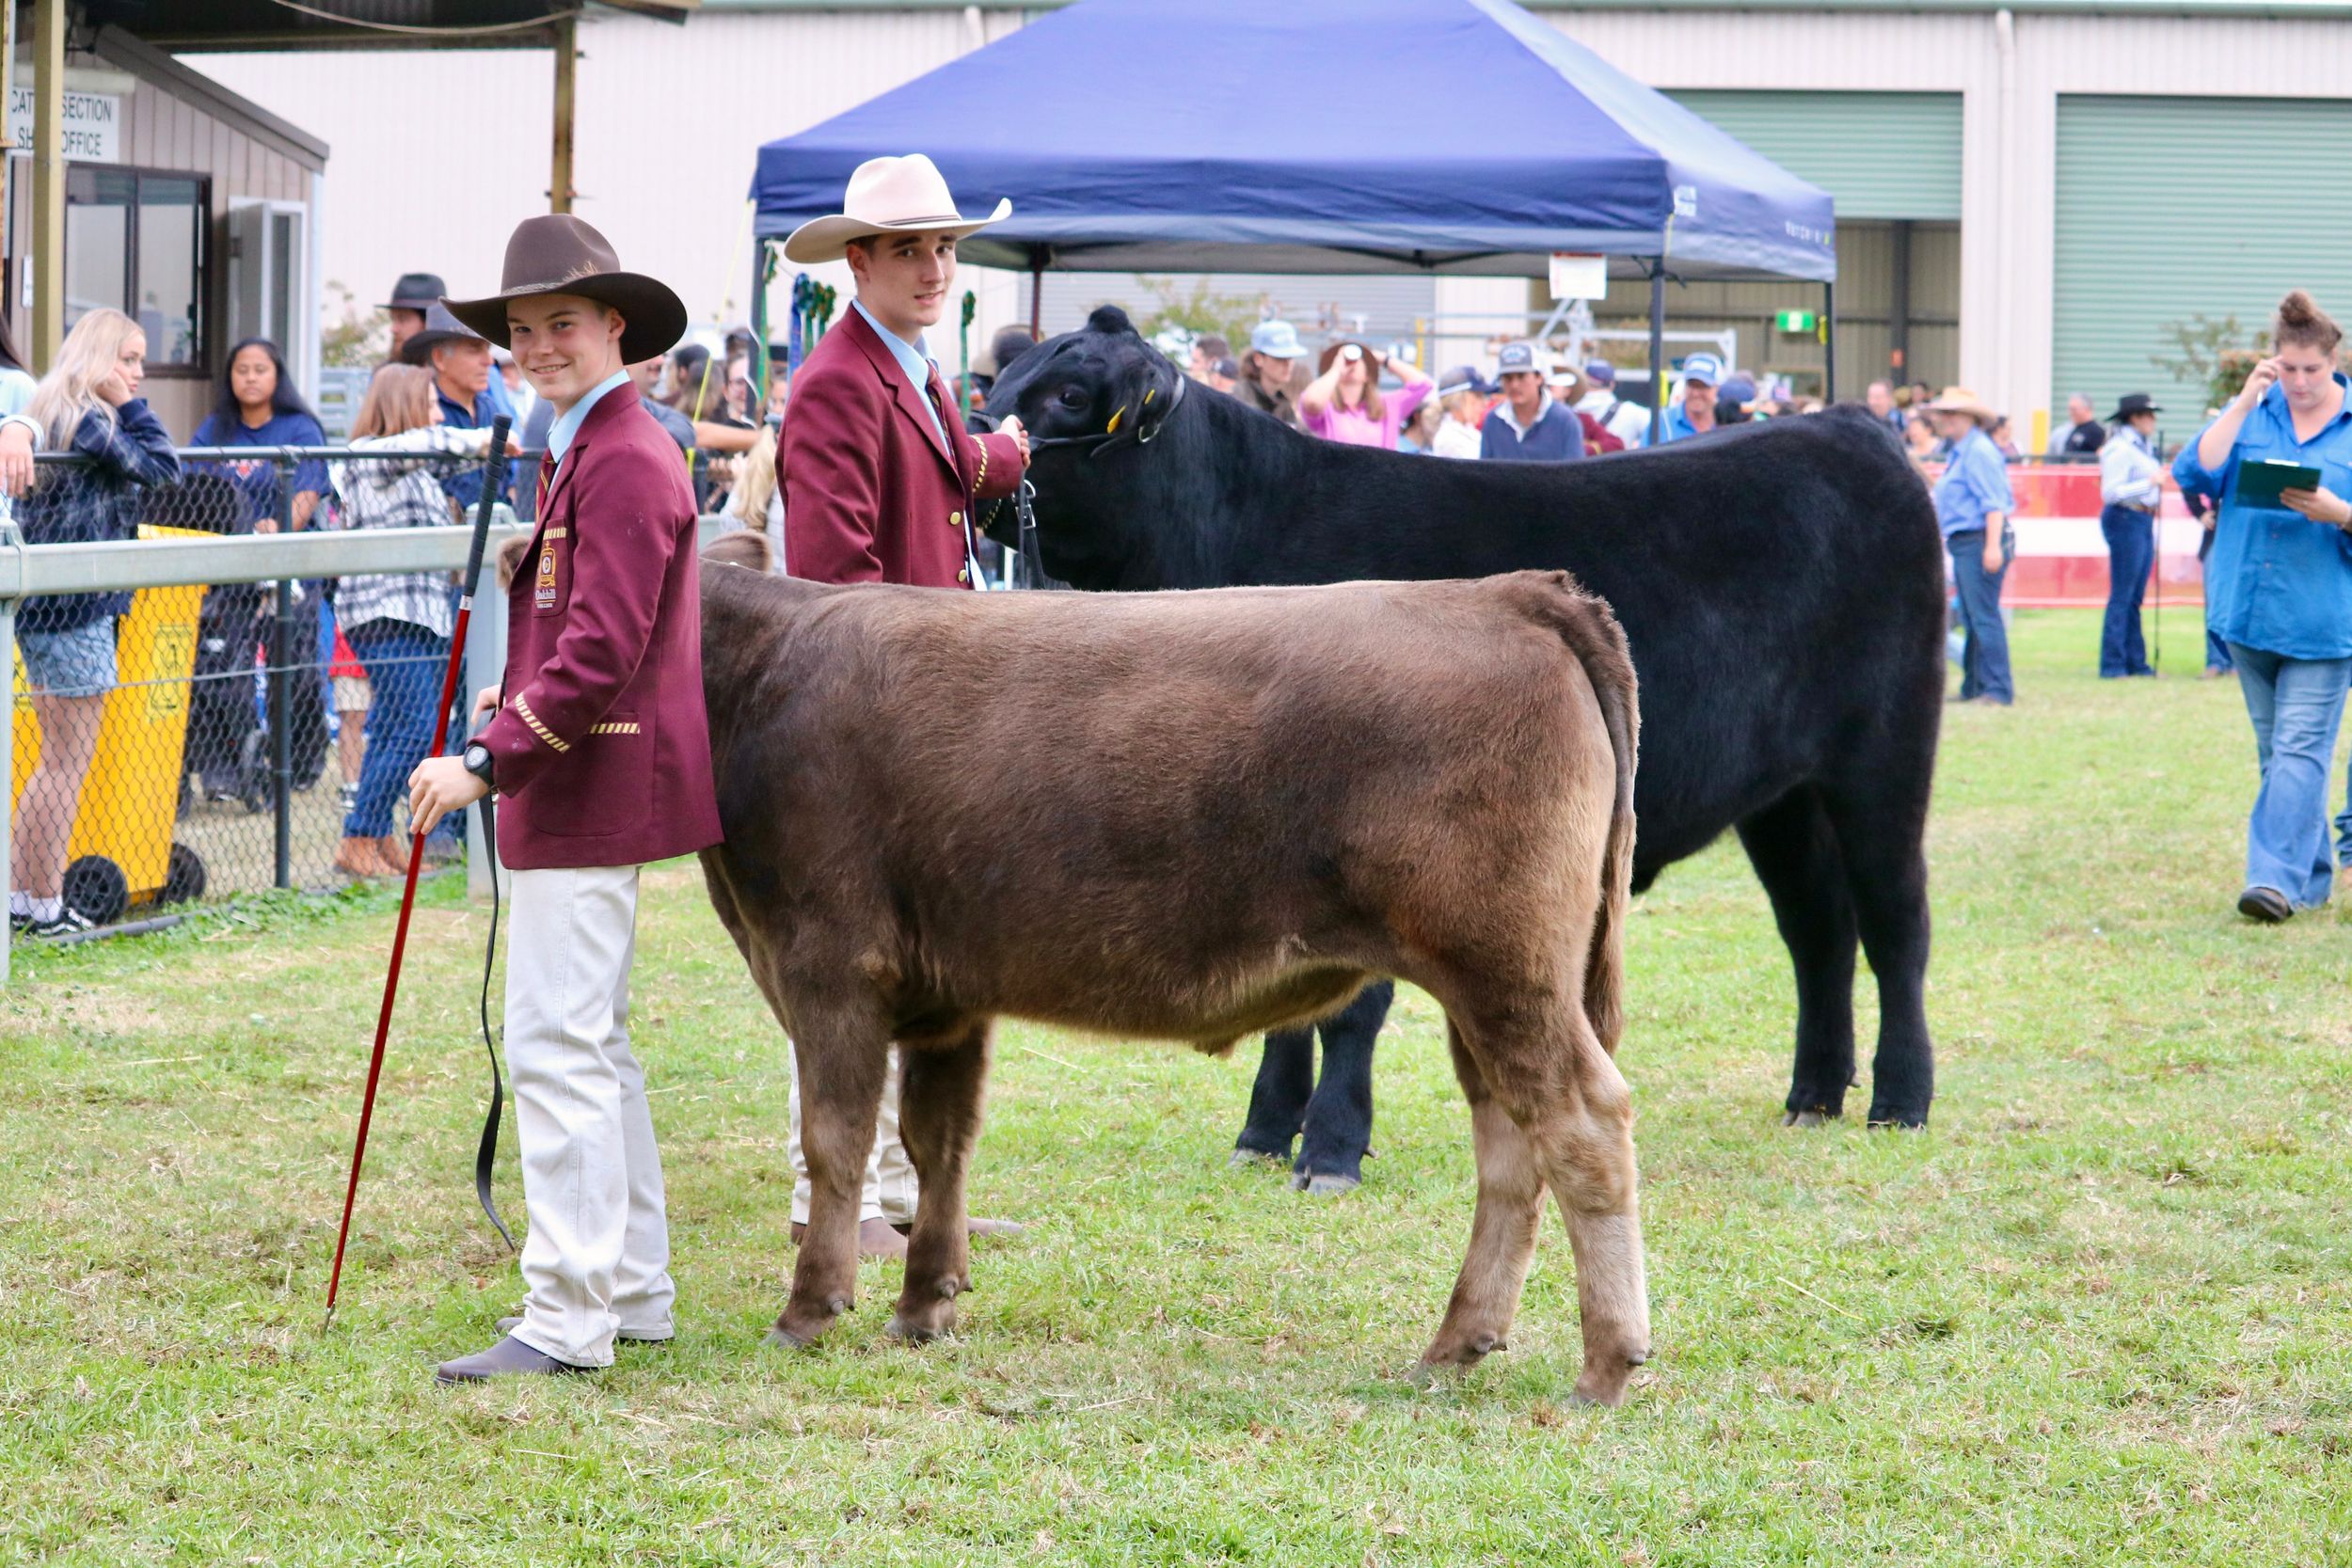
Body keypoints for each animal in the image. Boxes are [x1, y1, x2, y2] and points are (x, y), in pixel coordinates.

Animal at [691, 535, 1651, 1403]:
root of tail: (1508, 589)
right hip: (1491, 988)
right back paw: (1455, 1346)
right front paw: (926, 1305)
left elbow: (836, 1140)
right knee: (1510, 1144)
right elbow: (941, 1141)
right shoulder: (946, 995)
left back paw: (1605, 1364)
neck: (762, 670)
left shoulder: (825, 961)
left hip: (1505, 971)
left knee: (1582, 1122)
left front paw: (809, 1309)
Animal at [982, 307, 1946, 1175]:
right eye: (1001, 377)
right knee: (1817, 926)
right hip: (1782, 796)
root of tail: (1846, 423)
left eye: (1070, 394)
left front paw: (1331, 1147)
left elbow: (1352, 1006)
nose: (982, 438)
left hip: (1884, 754)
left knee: (1894, 920)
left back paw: (1900, 1100)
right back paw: (1813, 1095)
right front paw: (1264, 1132)